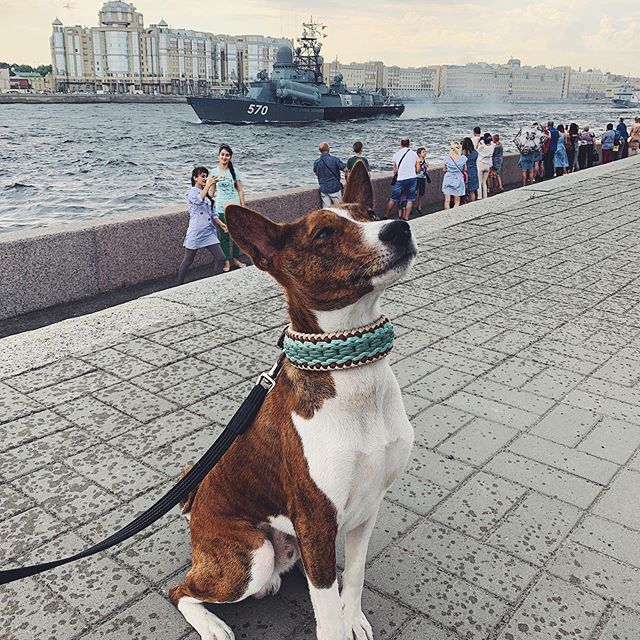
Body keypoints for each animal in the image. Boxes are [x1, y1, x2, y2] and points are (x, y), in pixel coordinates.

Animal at [170, 164, 418, 640]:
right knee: (180, 590)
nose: (399, 228)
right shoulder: (317, 523)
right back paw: (211, 624)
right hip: (251, 558)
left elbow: (354, 576)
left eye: (371, 214)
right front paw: (340, 622)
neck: (354, 379)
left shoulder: (366, 510)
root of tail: (195, 516)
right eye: (323, 233)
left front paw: (353, 616)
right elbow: (328, 618)